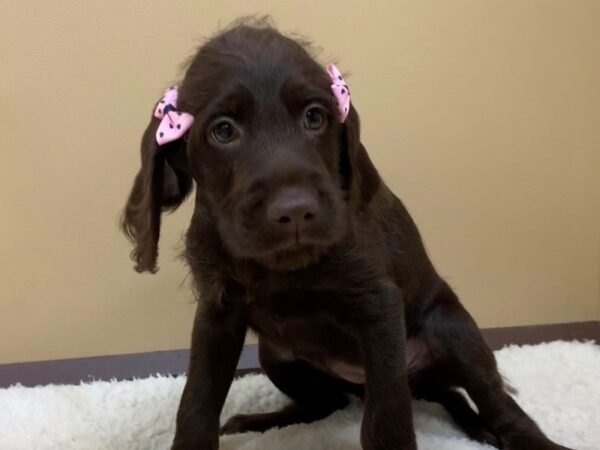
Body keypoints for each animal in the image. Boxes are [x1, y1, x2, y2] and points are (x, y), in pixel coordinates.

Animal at [120, 21, 572, 450]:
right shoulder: (217, 312)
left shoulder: (378, 304)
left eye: (314, 117)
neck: (281, 267)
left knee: (497, 402)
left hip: (453, 331)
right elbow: (197, 400)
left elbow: (386, 421)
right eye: (224, 131)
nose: (295, 211)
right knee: (327, 403)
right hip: (277, 356)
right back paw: (265, 421)